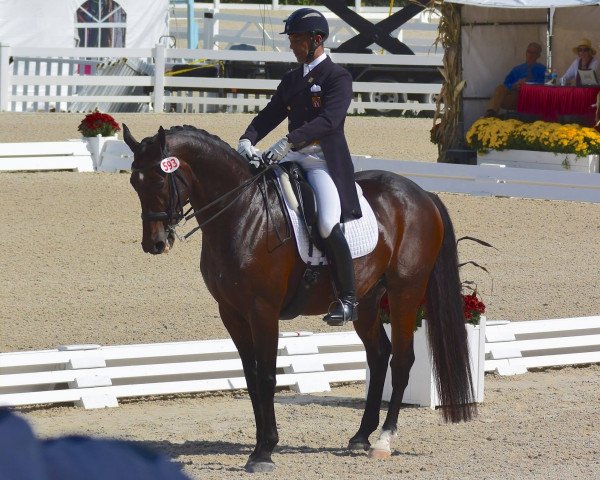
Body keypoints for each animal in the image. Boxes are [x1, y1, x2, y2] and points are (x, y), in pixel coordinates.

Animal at [124, 124, 476, 472]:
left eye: (158, 179)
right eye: (133, 182)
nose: (154, 244)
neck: (242, 213)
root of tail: (422, 194)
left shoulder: (262, 311)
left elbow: (267, 375)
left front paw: (264, 451)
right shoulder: (231, 312)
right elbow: (251, 376)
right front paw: (260, 444)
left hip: (406, 292)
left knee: (401, 360)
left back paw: (383, 441)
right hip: (367, 300)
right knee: (378, 355)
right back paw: (360, 436)